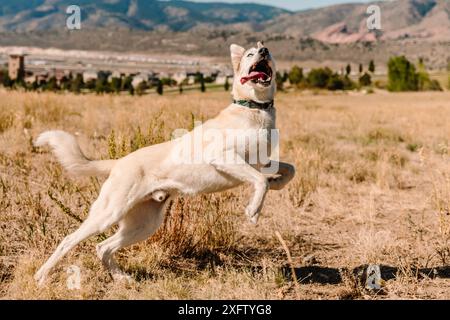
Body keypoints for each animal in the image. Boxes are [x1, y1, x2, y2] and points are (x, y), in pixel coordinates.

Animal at [34, 41, 296, 284]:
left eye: (267, 51)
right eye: (251, 54)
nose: (263, 51)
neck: (255, 109)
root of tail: (118, 162)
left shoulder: (262, 161)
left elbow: (288, 170)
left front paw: (276, 183)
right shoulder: (221, 155)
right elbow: (260, 180)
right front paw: (254, 210)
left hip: (143, 224)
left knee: (103, 247)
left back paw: (121, 278)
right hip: (108, 214)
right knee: (69, 240)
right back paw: (42, 275)